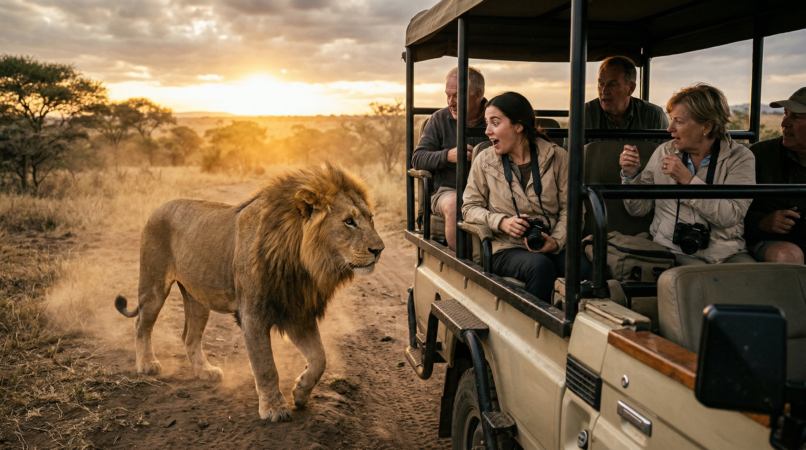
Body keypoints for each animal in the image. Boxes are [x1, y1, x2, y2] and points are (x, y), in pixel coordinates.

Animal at [114, 163, 384, 422]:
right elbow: (266, 366)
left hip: (198, 299)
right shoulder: (253, 316)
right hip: (154, 286)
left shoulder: (297, 313)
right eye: (349, 221)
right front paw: (274, 408)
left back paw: (206, 372)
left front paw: (300, 392)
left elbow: (319, 359)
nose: (379, 249)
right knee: (142, 325)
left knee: (189, 336)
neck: (303, 264)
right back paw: (147, 364)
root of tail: (159, 208)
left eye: (371, 218)